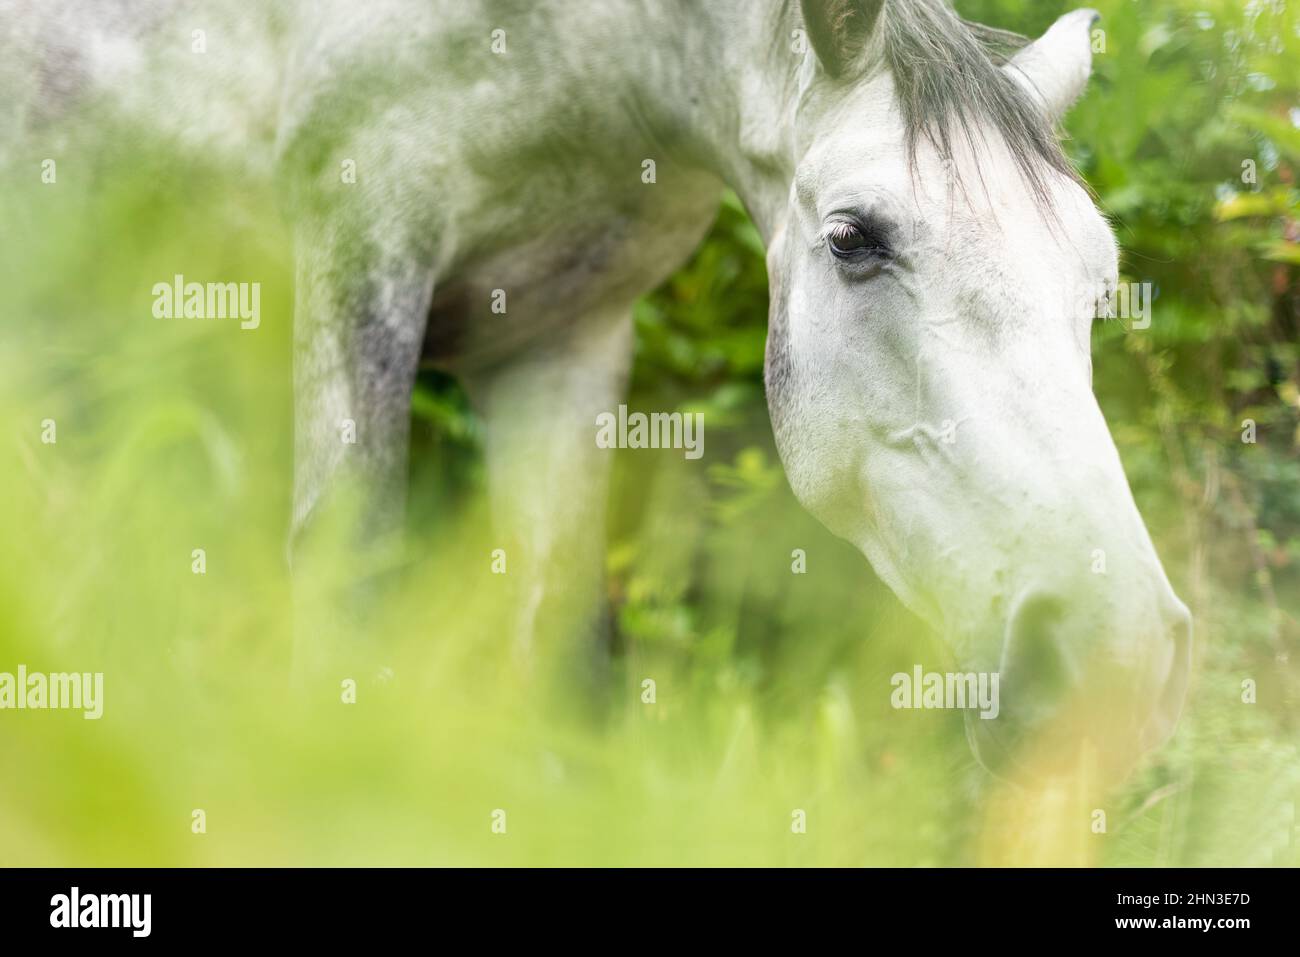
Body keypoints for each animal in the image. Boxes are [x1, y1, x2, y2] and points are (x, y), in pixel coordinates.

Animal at [6, 0, 1191, 781]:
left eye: (1095, 280)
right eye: (855, 238)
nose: (1121, 654)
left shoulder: (561, 339)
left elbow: (560, 638)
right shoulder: (360, 255)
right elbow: (346, 592)